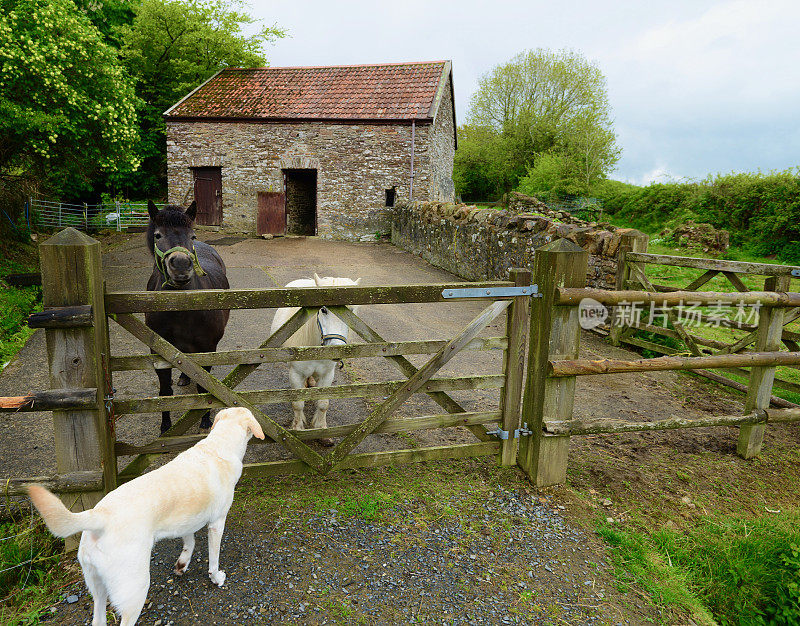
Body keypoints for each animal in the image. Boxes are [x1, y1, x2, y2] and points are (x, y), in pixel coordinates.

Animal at [28, 404, 264, 624]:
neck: (218, 446)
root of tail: (100, 515)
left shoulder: (185, 521)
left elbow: (189, 541)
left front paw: (182, 564)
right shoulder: (217, 523)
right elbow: (213, 559)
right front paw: (216, 578)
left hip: (97, 587)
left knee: (99, 617)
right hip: (135, 589)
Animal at [146, 202, 230, 432]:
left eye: (192, 235)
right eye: (157, 235)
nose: (182, 266)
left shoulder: (208, 348)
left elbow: (204, 387)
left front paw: (205, 420)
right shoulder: (159, 352)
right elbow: (165, 392)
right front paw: (166, 425)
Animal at [276, 272, 362, 444]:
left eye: (351, 310)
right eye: (323, 309)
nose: (336, 347)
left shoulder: (327, 374)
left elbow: (323, 404)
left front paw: (322, 432)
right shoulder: (295, 374)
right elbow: (298, 404)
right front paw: (298, 430)